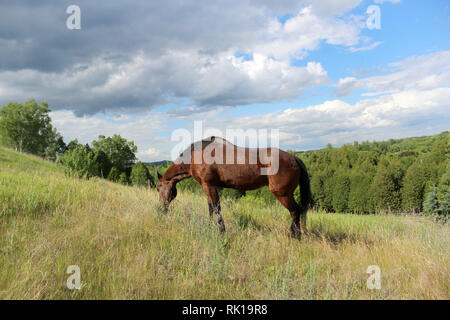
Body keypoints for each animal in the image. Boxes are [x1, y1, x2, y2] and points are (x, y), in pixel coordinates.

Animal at [156, 136, 312, 239]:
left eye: (158, 188)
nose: (161, 210)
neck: (196, 155)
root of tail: (294, 158)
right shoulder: (210, 187)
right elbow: (211, 209)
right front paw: (210, 227)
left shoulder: (209, 186)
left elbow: (216, 209)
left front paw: (221, 231)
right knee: (296, 212)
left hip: (283, 194)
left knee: (295, 211)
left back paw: (294, 236)